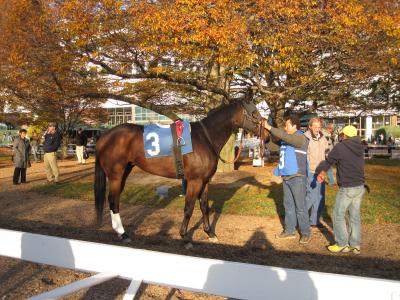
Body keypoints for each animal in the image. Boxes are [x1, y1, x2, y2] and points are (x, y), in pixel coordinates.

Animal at [94, 99, 266, 245]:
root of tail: (104, 136)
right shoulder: (195, 181)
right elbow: (189, 207)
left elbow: (204, 207)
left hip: (125, 172)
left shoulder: (205, 181)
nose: (266, 134)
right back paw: (123, 234)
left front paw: (210, 233)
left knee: (115, 200)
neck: (205, 138)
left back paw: (120, 232)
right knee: (113, 200)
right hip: (116, 175)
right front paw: (184, 236)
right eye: (254, 113)